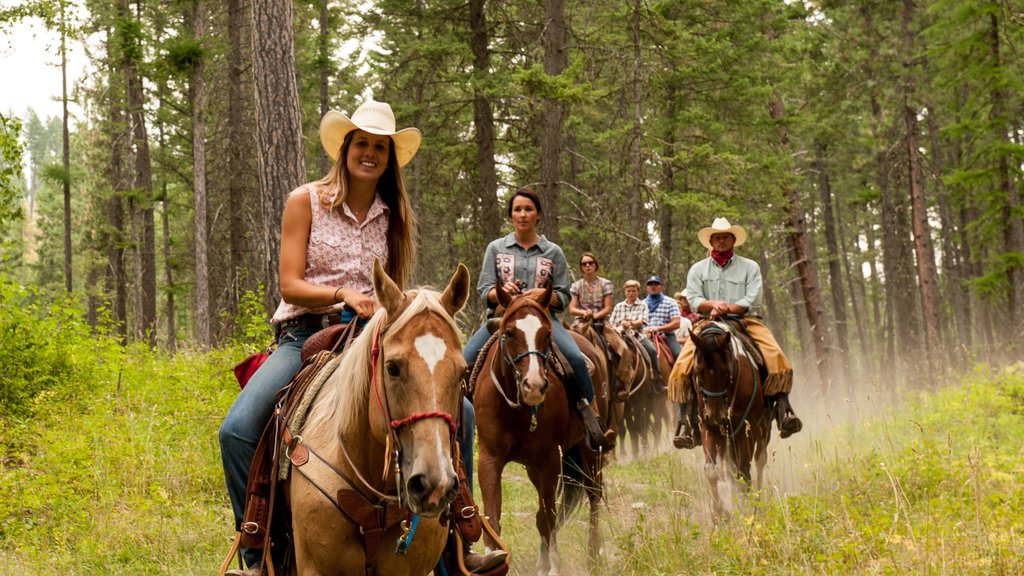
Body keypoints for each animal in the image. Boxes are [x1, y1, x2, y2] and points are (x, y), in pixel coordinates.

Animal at [473, 282, 606, 573]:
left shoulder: (549, 461)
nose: (534, 386)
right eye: (509, 333)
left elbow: (548, 516)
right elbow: (492, 515)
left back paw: (593, 559)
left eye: (546, 334)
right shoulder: (489, 458)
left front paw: (553, 568)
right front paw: (493, 557)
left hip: (590, 451)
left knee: (593, 497)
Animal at [688, 317, 770, 516]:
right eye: (698, 371)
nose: (716, 416)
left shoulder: (746, 428)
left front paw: (749, 509)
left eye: (726, 371)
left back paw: (758, 498)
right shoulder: (709, 428)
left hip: (762, 428)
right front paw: (720, 514)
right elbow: (712, 470)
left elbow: (744, 472)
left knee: (759, 460)